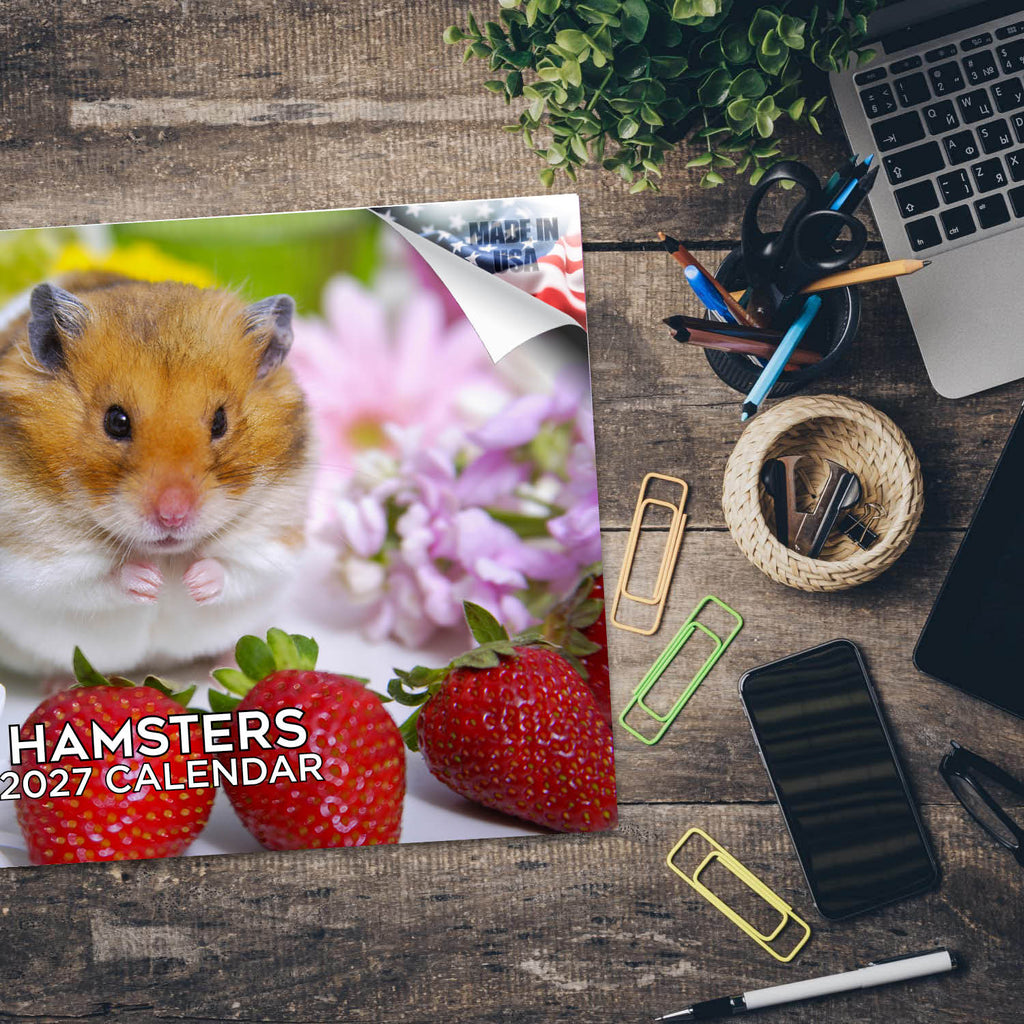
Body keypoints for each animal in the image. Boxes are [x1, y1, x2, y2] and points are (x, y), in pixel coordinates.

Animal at [0, 273, 314, 676]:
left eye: (220, 422)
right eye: (116, 421)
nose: (173, 515)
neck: (165, 553)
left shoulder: (273, 542)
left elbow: (232, 569)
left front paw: (192, 581)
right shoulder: (35, 566)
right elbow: (96, 580)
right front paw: (151, 582)